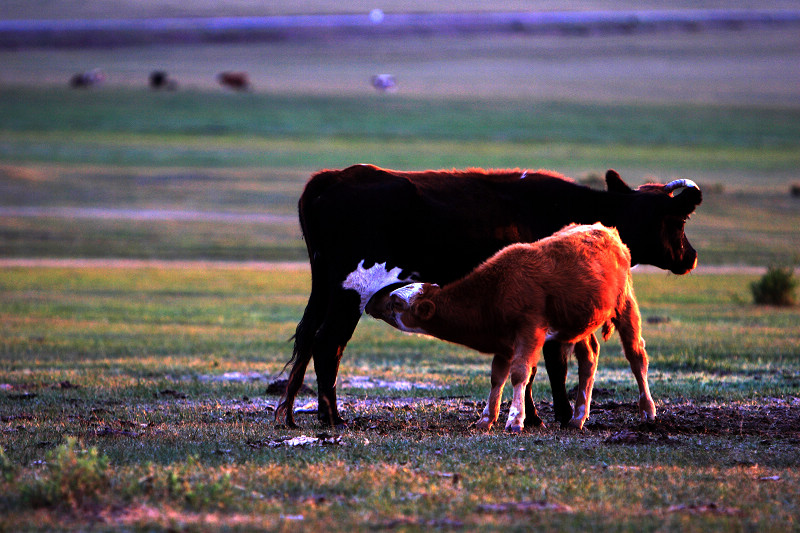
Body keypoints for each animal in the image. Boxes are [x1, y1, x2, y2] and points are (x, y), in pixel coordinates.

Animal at [356, 222, 656, 430]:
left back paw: (647, 410)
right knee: (589, 358)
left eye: (396, 302)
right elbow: (497, 376)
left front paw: (515, 419)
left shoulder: (530, 331)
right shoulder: (504, 342)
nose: (371, 302)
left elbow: (520, 373)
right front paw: (486, 418)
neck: (494, 291)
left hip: (626, 304)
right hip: (579, 323)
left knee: (636, 355)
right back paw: (578, 417)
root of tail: (606, 230)